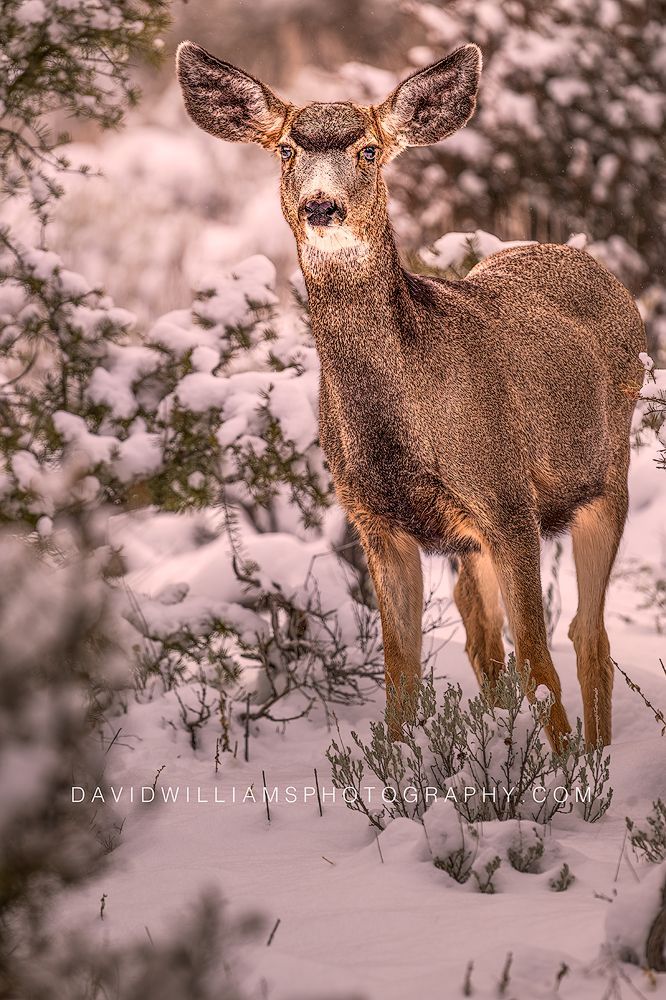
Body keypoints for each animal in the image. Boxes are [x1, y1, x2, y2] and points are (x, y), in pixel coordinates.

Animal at [176, 40, 646, 750]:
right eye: (285, 148)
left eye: (369, 149)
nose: (321, 206)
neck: (400, 418)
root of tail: (588, 261)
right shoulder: (377, 522)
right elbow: (400, 679)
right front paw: (404, 764)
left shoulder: (507, 499)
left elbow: (539, 664)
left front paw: (559, 772)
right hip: (471, 543)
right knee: (487, 643)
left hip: (606, 477)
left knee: (585, 633)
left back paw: (595, 757)